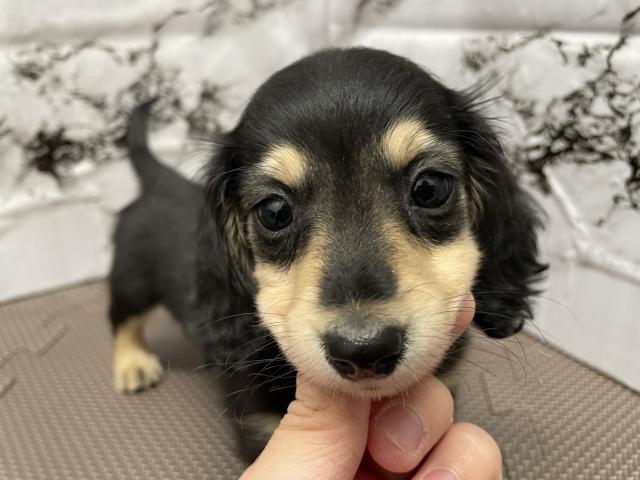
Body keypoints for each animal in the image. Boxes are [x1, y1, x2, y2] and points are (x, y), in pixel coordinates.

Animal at [108, 47, 546, 462]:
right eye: (274, 211)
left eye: (430, 187)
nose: (365, 349)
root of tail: (156, 182)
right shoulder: (259, 428)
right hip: (132, 282)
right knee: (122, 319)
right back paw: (132, 364)